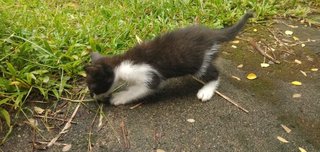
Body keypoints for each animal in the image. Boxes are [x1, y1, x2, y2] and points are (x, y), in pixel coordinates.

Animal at [84, 11, 252, 105]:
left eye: (92, 87)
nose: (93, 97)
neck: (119, 64)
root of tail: (211, 33)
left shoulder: (147, 74)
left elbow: (143, 88)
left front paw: (120, 97)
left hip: (198, 63)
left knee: (214, 74)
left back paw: (206, 91)